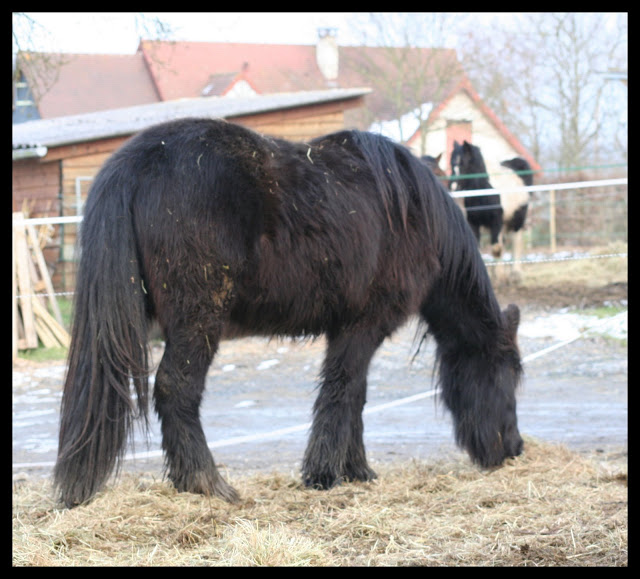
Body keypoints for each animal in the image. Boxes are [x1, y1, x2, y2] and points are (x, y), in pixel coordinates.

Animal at [53, 118, 524, 508]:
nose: (514, 448)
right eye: (506, 377)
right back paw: (207, 484)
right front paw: (324, 474)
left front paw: (357, 471)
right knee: (176, 389)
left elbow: (354, 395)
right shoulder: (363, 326)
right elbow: (342, 392)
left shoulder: (348, 329)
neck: (412, 210)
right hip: (197, 320)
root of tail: (136, 162)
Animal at [450, 140, 536, 276]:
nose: (453, 186)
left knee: (516, 241)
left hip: (517, 219)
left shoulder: (496, 220)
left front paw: (500, 276)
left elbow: (496, 249)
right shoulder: (474, 222)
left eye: (465, 162)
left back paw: (515, 273)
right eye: (452, 162)